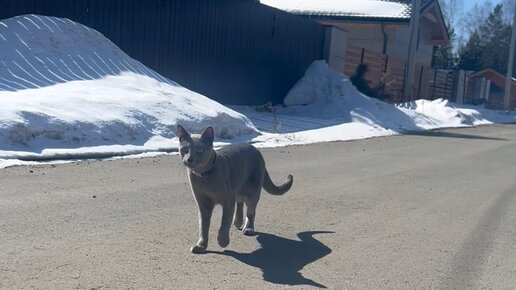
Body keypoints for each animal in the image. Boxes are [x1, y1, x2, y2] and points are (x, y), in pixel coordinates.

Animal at [177, 124, 292, 254]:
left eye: (200, 150)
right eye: (185, 150)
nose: (189, 159)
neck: (203, 175)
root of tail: (255, 149)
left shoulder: (227, 200)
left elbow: (224, 223)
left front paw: (223, 241)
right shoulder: (202, 203)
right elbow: (203, 226)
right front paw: (200, 246)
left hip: (253, 191)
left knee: (251, 211)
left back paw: (248, 228)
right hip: (238, 187)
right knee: (240, 202)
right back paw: (237, 221)